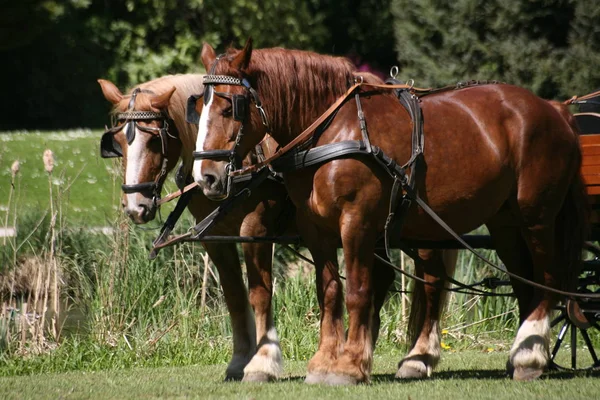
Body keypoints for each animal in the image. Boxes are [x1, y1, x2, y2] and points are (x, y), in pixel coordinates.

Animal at [96, 75, 292, 382]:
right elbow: (234, 295)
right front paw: (239, 360)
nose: (135, 206)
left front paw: (263, 363)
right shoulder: (215, 238)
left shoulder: (256, 231)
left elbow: (259, 294)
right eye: (117, 142)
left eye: (155, 140)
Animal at [192, 41, 584, 384]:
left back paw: (530, 356)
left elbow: (358, 291)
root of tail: (554, 109)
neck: (333, 130)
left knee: (547, 277)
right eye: (199, 107)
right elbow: (329, 291)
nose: (206, 177)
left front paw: (349, 366)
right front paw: (323, 362)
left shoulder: (357, 222)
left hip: (536, 217)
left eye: (232, 107)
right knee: (520, 281)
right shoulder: (316, 229)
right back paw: (517, 355)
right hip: (504, 222)